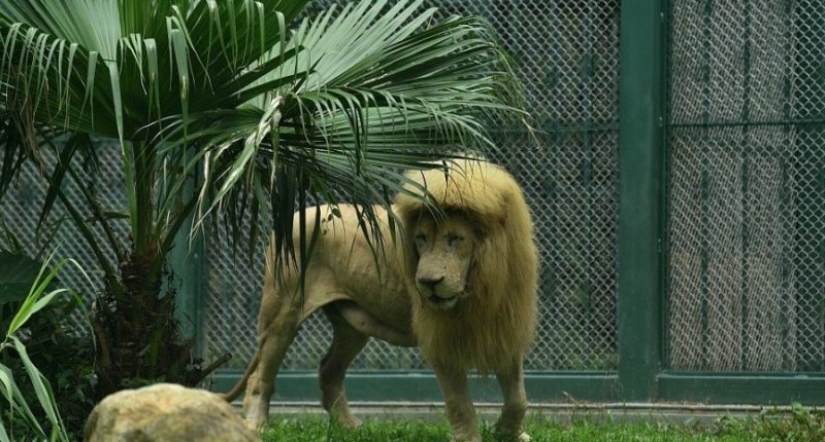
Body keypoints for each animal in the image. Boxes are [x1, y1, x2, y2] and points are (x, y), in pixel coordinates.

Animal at [223, 158, 538, 442]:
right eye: (421, 239)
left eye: (455, 239)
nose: (428, 282)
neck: (479, 285)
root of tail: (291, 217)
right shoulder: (439, 338)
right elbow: (458, 401)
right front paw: (469, 438)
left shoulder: (506, 328)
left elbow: (518, 398)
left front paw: (510, 433)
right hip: (282, 314)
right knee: (260, 377)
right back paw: (256, 426)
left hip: (352, 326)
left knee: (329, 370)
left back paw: (349, 427)